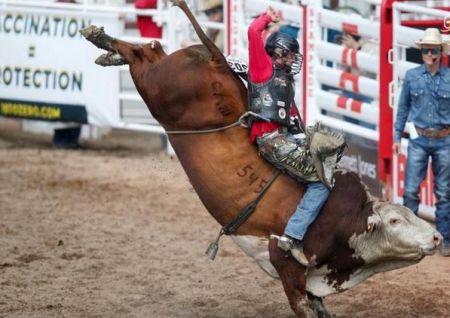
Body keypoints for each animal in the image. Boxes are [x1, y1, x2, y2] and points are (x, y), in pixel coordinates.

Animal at [79, 1, 442, 316]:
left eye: (408, 213)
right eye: (394, 221)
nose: (438, 237)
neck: (347, 221)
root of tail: (216, 61)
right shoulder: (286, 265)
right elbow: (302, 304)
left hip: (162, 77)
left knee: (151, 48)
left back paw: (105, 48)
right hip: (158, 88)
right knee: (140, 57)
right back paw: (99, 37)